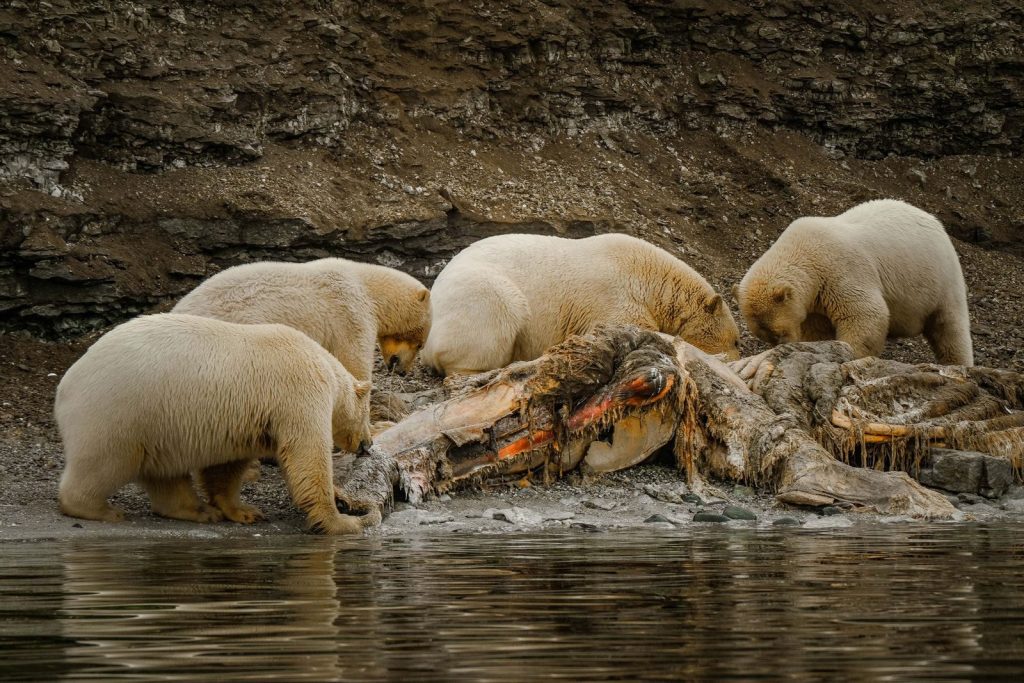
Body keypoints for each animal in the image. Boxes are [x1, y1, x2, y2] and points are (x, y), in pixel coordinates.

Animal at [55, 313, 376, 535]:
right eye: (367, 419)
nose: (367, 445)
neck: (326, 367)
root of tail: (64, 387)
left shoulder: (246, 418)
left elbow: (226, 466)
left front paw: (243, 511)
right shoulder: (299, 392)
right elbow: (306, 454)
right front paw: (342, 521)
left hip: (155, 423)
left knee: (164, 473)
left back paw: (198, 511)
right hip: (119, 410)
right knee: (105, 462)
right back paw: (100, 509)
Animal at [421, 233, 741, 376]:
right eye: (736, 340)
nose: (736, 357)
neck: (649, 275)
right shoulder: (612, 296)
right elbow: (628, 324)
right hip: (482, 295)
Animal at [733, 199, 973, 365]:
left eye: (779, 332)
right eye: (764, 336)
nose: (781, 346)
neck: (804, 252)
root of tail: (935, 221)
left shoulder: (840, 269)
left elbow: (865, 314)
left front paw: (849, 353)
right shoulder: (815, 298)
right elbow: (818, 328)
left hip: (940, 277)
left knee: (949, 326)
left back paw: (957, 363)